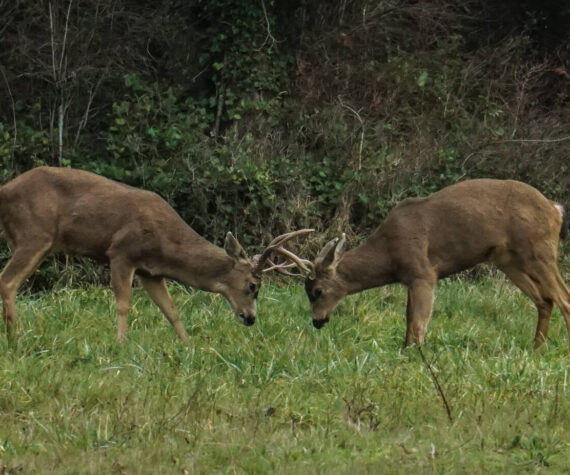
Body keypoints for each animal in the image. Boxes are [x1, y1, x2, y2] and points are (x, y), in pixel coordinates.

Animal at [0, 167, 310, 342]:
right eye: (253, 285)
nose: (250, 318)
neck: (166, 244)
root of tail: (5, 190)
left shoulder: (151, 271)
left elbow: (170, 309)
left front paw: (187, 344)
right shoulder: (121, 252)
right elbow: (123, 303)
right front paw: (121, 343)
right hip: (34, 234)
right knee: (8, 281)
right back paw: (16, 338)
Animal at [288, 178, 568, 350]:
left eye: (317, 291)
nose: (317, 321)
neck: (388, 252)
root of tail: (555, 209)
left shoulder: (423, 272)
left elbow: (419, 322)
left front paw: (416, 355)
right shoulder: (410, 279)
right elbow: (409, 318)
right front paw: (405, 350)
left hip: (540, 250)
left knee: (563, 298)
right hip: (508, 259)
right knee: (545, 300)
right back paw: (536, 346)